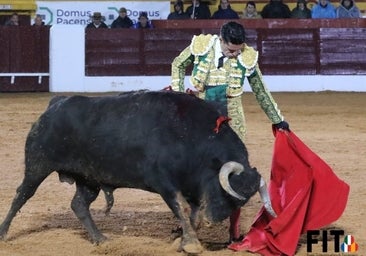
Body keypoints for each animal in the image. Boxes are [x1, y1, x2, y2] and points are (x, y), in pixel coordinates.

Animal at [0, 90, 274, 254]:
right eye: (224, 191)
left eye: (241, 202)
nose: (213, 220)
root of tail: (55, 104)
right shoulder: (166, 183)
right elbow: (182, 208)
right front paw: (191, 244)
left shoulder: (193, 188)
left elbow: (193, 214)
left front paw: (185, 240)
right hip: (37, 166)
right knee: (21, 196)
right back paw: (3, 233)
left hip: (89, 180)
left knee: (79, 205)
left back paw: (100, 239)